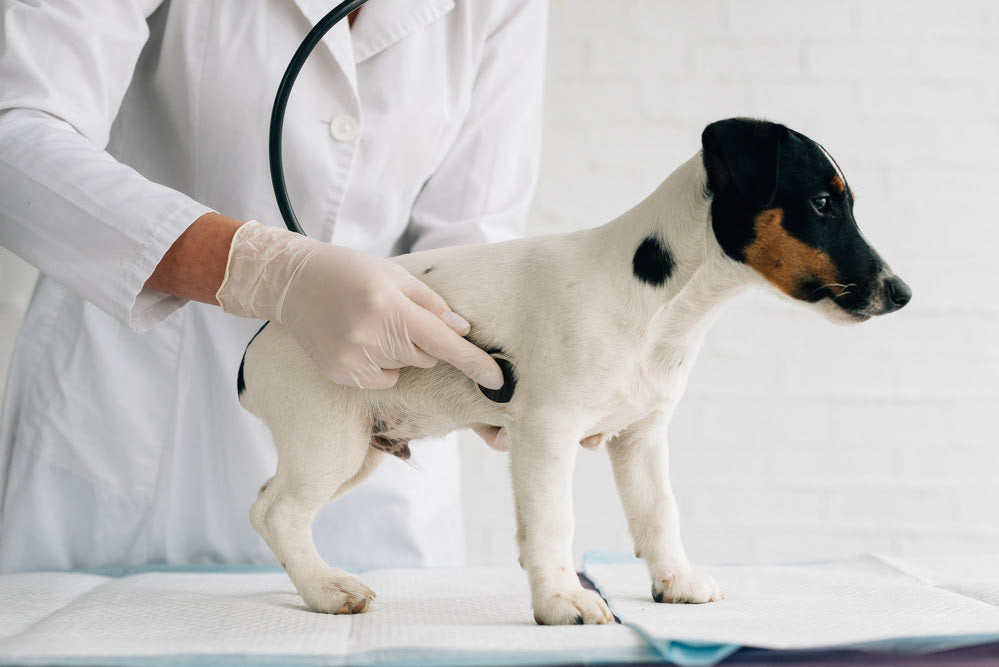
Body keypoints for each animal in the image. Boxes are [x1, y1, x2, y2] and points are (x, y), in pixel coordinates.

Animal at [238, 118, 912, 628]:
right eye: (822, 203)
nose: (903, 294)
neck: (660, 301)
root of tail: (262, 340)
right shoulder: (547, 432)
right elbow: (552, 523)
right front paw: (563, 600)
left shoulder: (641, 437)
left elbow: (657, 513)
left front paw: (675, 581)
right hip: (329, 442)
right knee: (277, 512)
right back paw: (327, 590)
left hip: (362, 450)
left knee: (274, 505)